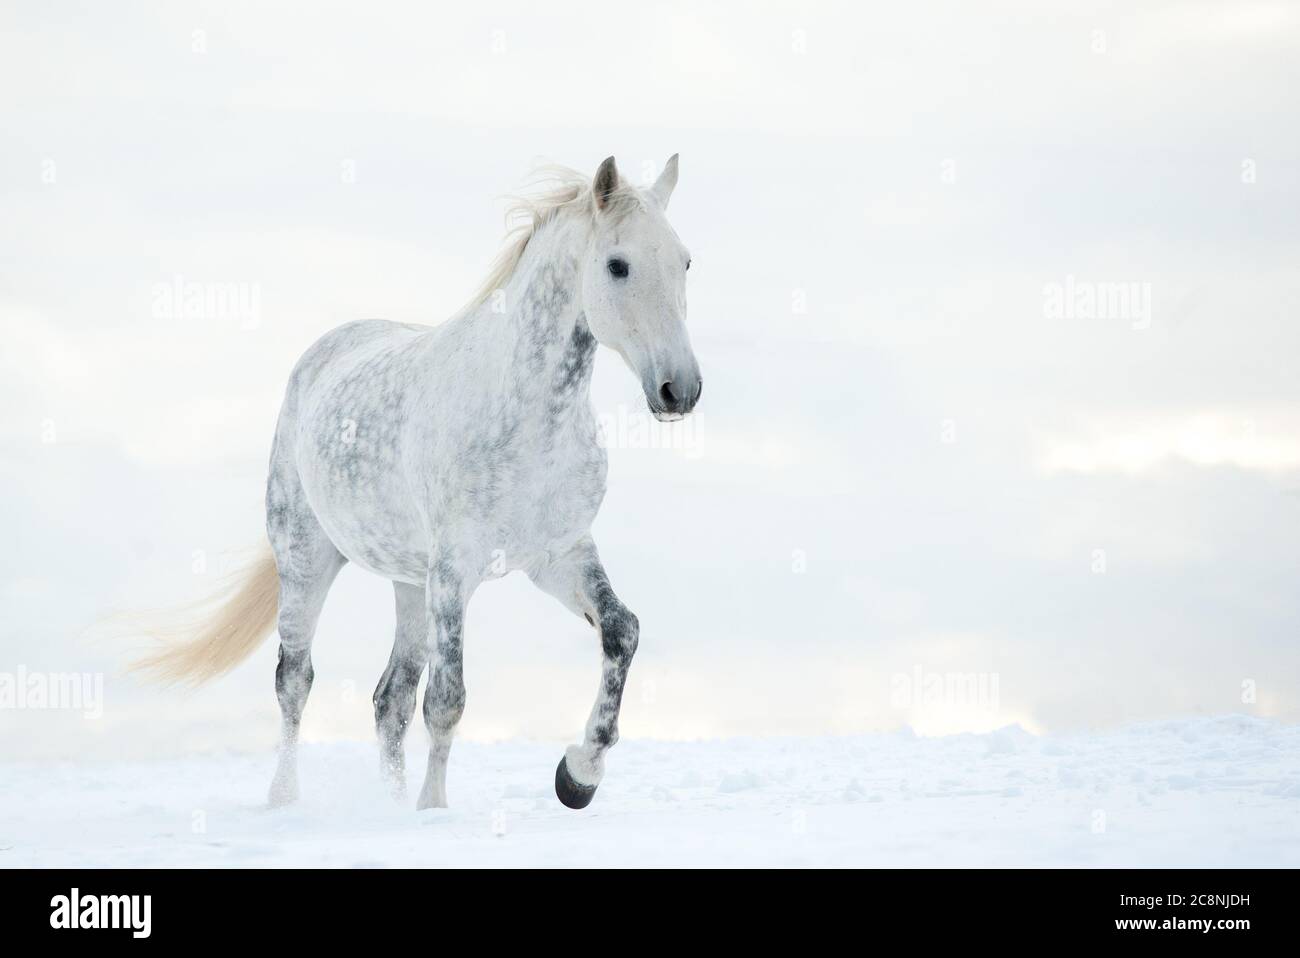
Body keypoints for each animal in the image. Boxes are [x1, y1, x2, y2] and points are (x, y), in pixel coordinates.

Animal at [133, 155, 702, 805]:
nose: (680, 389)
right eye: (617, 264)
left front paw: (578, 775)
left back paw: (389, 801)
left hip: (409, 582)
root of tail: (321, 355)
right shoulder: (455, 572)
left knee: (390, 699)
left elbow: (621, 632)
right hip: (307, 562)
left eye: (684, 260)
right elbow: (448, 700)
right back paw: (285, 800)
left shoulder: (559, 556)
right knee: (295, 680)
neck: (528, 418)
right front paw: (435, 810)